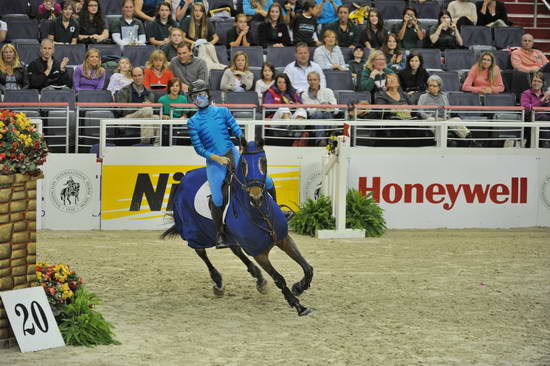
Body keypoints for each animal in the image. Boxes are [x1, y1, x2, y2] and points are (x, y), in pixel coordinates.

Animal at [161, 139, 314, 316]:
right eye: (244, 164)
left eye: (264, 161)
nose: (256, 198)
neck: (260, 214)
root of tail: (183, 183)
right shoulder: (259, 253)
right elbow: (279, 279)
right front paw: (298, 305)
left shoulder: (283, 239)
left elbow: (308, 268)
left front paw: (299, 287)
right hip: (194, 232)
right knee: (202, 253)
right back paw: (218, 282)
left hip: (228, 235)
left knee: (235, 250)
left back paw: (258, 278)